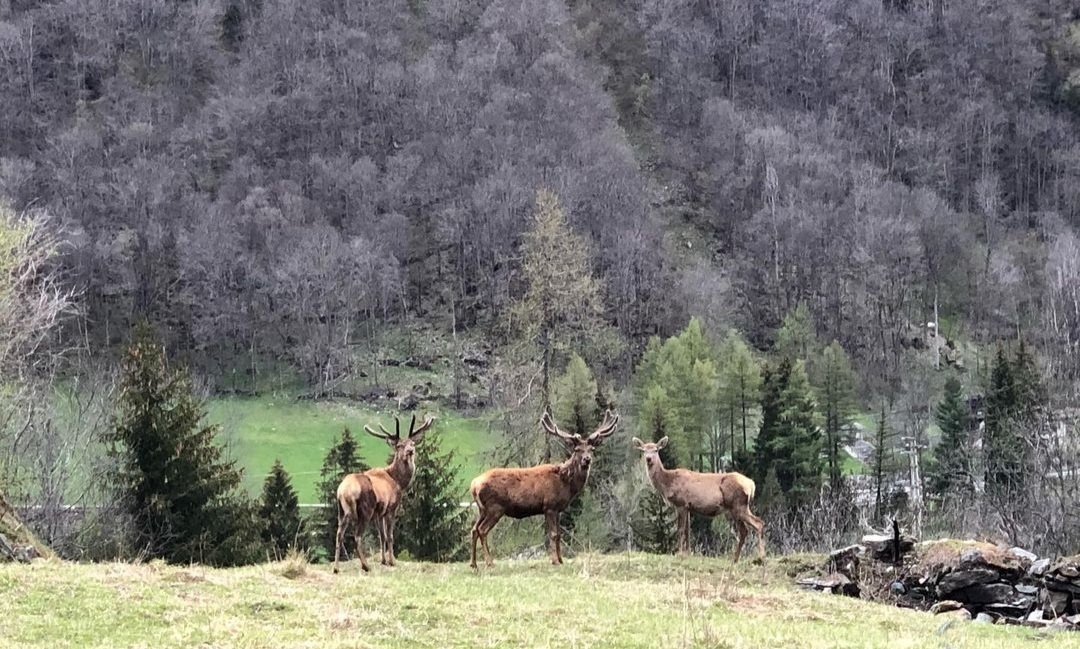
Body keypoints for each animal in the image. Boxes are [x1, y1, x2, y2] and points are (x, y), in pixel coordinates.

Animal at [332, 413, 435, 574]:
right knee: (357, 536)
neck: (399, 482)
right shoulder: (391, 508)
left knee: (338, 535)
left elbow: (382, 536)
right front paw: (392, 561)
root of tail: (344, 490)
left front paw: (383, 560)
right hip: (364, 510)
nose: (410, 451)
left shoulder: (379, 513)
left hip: (341, 511)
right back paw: (365, 565)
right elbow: (390, 536)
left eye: (412, 443)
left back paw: (336, 568)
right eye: (399, 445)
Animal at [469, 409, 619, 568]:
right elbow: (553, 534)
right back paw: (489, 562)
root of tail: (474, 485)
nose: (587, 459)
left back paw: (473, 563)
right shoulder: (549, 506)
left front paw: (561, 559)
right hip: (495, 507)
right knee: (482, 530)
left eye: (592, 449)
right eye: (577, 449)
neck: (565, 482)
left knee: (474, 529)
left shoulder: (559, 509)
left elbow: (559, 534)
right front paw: (554, 560)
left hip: (482, 509)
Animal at [632, 436, 765, 563]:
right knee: (745, 531)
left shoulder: (681, 503)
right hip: (736, 508)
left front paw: (679, 553)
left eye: (656, 449)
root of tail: (751, 484)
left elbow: (680, 530)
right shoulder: (688, 507)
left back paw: (761, 557)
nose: (648, 459)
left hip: (738, 505)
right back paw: (735, 559)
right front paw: (688, 553)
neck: (669, 483)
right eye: (643, 450)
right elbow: (688, 531)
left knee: (758, 523)